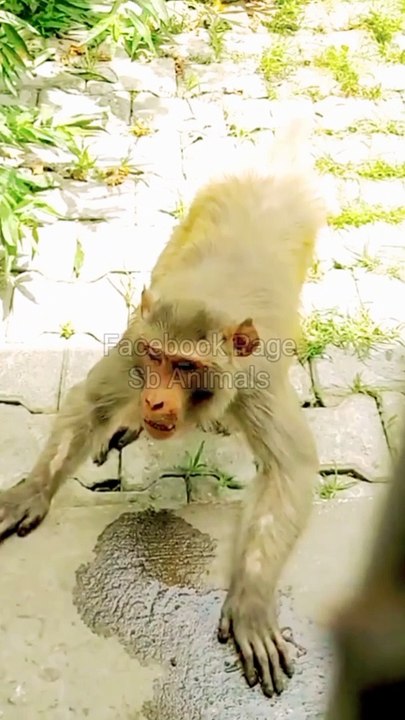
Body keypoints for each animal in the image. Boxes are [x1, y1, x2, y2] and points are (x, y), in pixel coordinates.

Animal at [0, 118, 326, 697]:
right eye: (157, 357)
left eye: (186, 366)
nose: (153, 397)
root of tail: (273, 167)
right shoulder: (134, 340)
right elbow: (90, 403)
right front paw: (32, 490)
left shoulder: (257, 377)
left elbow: (290, 467)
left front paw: (251, 599)